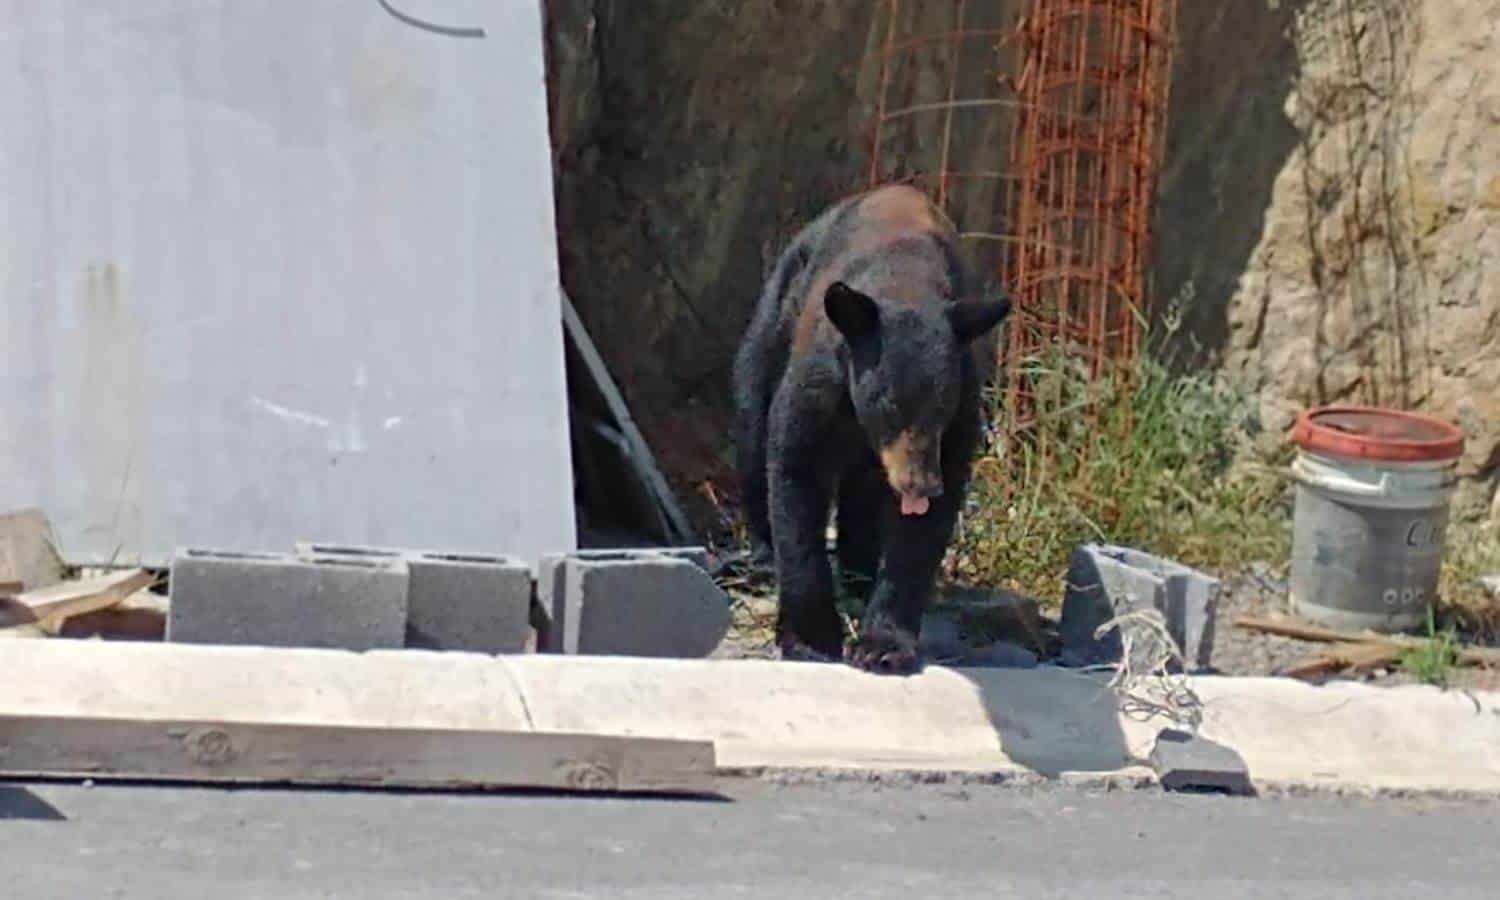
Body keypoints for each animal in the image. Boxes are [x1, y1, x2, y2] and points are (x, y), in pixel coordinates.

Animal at [732, 184, 1011, 674]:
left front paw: (883, 644)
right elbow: (795, 472)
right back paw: (765, 558)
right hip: (774, 321)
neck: (906, 282)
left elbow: (924, 528)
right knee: (752, 423)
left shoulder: (960, 404)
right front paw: (811, 639)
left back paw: (859, 574)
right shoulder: (822, 379)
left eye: (941, 408)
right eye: (889, 403)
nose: (920, 484)